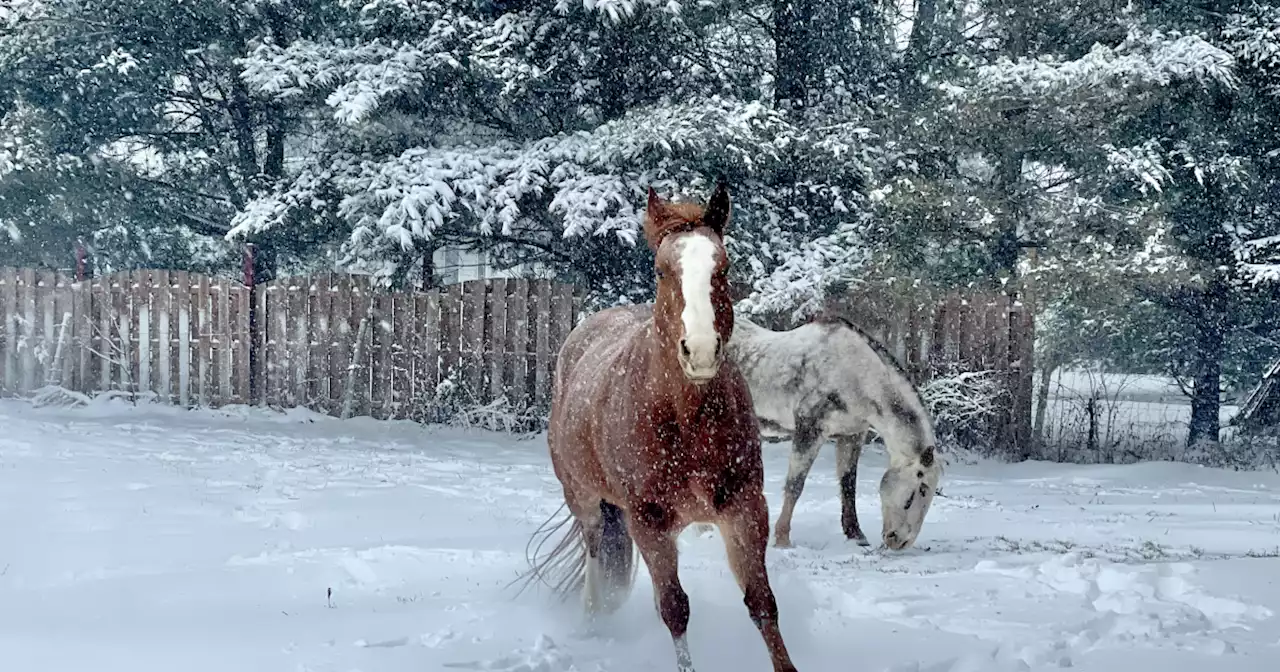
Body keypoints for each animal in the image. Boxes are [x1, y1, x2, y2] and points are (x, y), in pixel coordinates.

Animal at [514, 181, 793, 670]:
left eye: (723, 267)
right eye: (663, 271)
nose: (699, 351)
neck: (686, 417)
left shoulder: (744, 508)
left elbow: (762, 603)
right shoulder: (648, 520)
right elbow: (675, 609)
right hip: (585, 499)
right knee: (593, 551)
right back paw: (592, 621)